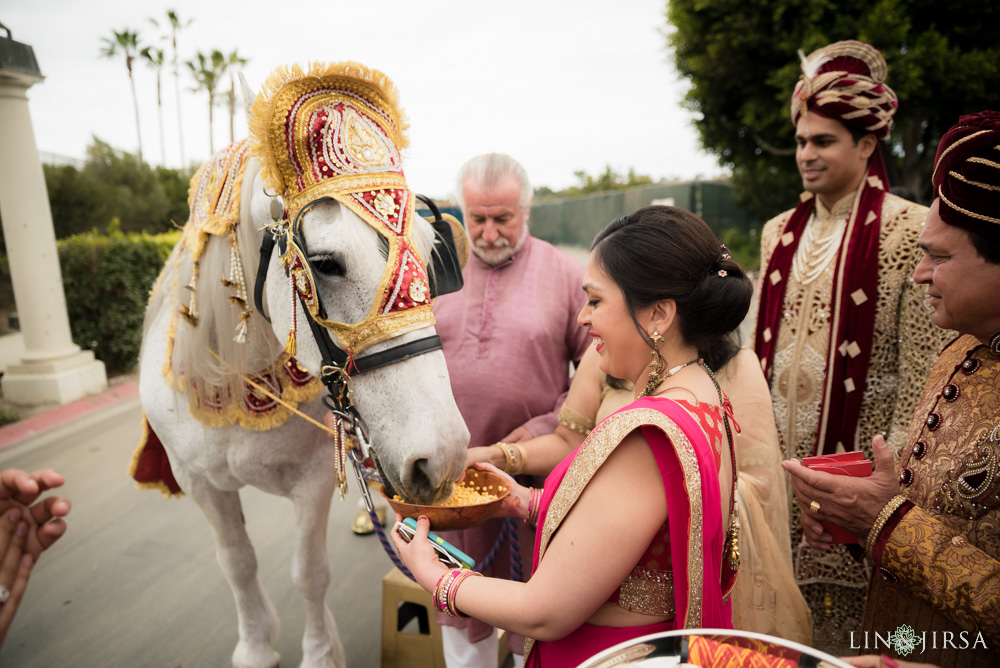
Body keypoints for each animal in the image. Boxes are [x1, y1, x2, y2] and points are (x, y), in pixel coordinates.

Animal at [135, 79, 470, 668]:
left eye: (431, 257)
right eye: (326, 262)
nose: (445, 455)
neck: (239, 384)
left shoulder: (313, 480)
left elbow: (309, 572)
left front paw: (319, 653)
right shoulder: (199, 482)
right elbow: (237, 564)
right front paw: (255, 645)